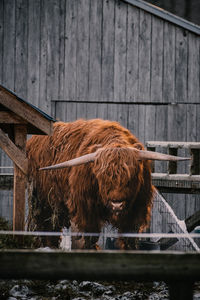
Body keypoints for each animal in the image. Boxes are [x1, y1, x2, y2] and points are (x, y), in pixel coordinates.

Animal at [26, 118, 189, 250]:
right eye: (101, 177)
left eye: (130, 177)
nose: (117, 204)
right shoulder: (85, 211)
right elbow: (88, 238)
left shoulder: (135, 212)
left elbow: (130, 239)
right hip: (41, 203)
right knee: (44, 227)